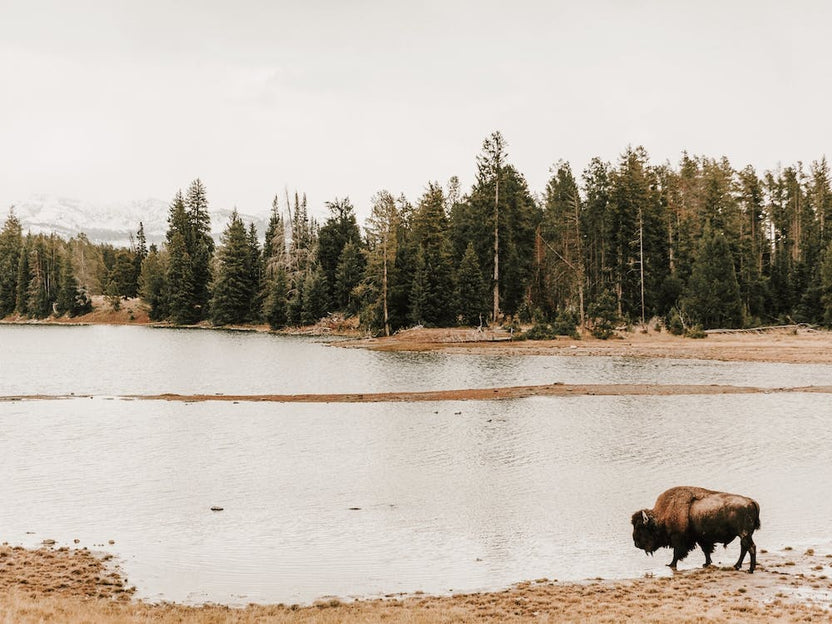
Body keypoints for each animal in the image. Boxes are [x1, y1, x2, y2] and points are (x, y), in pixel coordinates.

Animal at [631, 486, 760, 573]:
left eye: (640, 527)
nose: (636, 544)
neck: (665, 512)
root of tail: (751, 501)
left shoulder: (678, 539)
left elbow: (676, 553)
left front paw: (671, 565)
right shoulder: (701, 539)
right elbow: (706, 551)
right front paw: (706, 563)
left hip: (744, 534)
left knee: (750, 548)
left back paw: (750, 569)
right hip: (745, 535)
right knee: (745, 548)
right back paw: (737, 566)